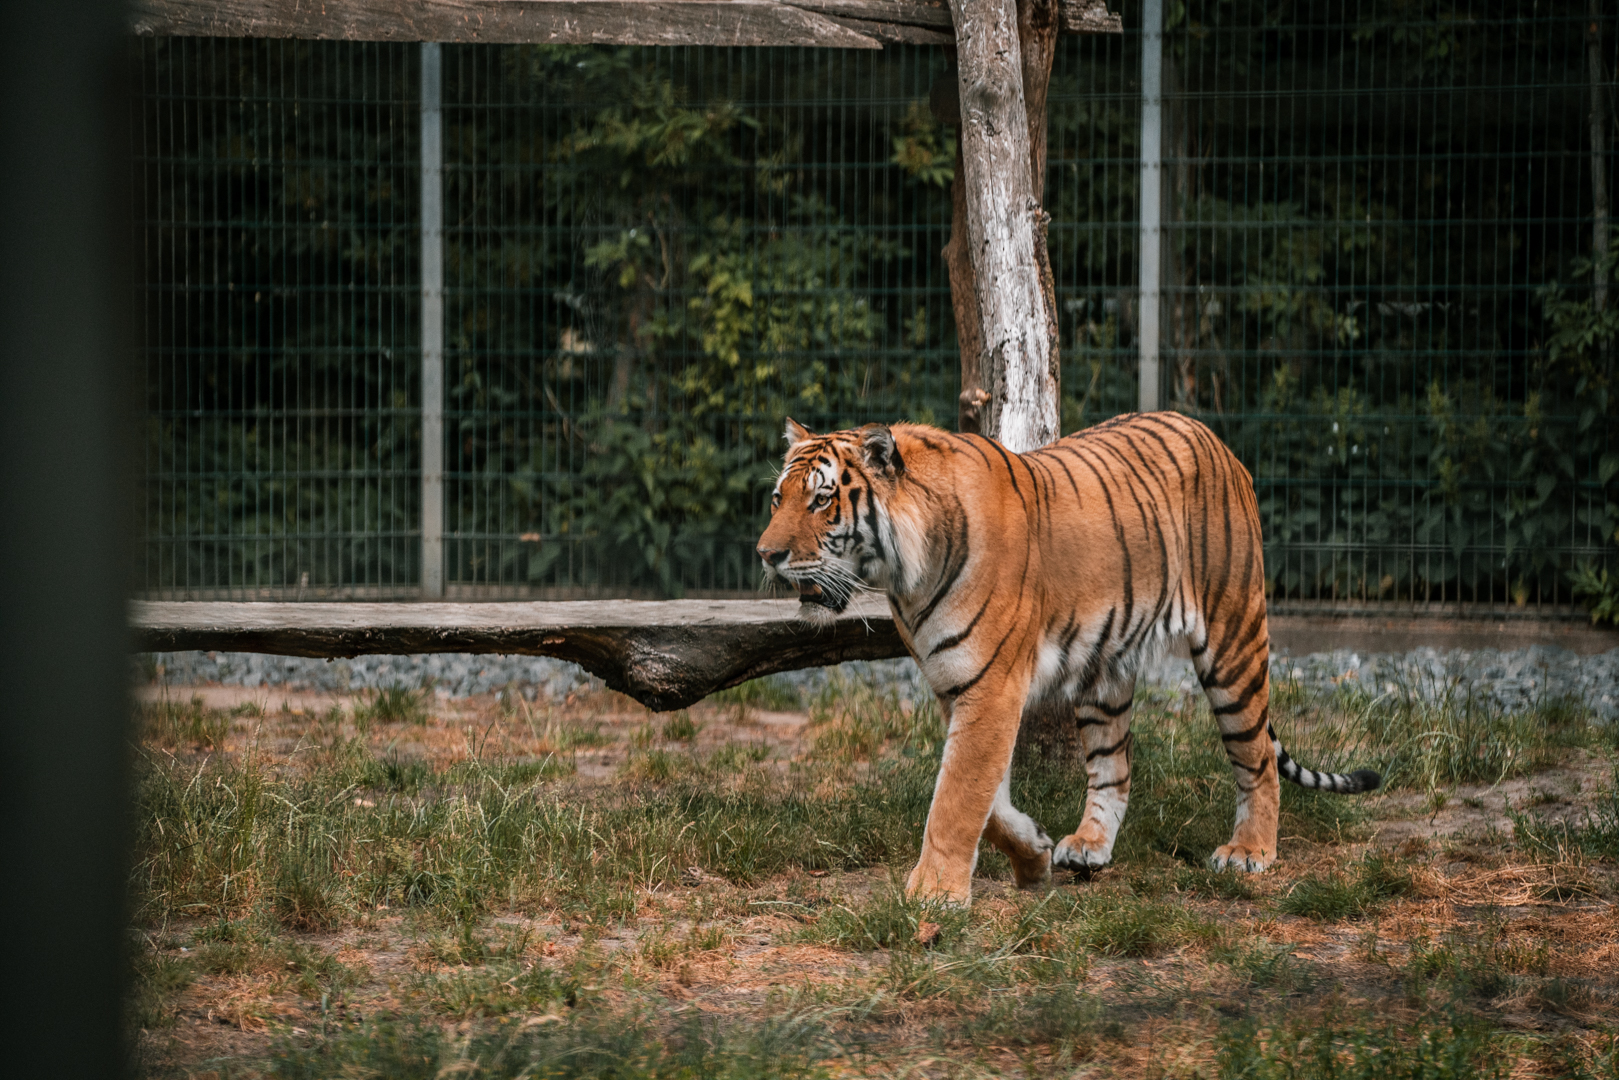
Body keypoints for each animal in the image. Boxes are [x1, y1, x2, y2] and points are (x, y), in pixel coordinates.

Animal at [756, 412, 1380, 904]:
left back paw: (1250, 851)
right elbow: (987, 799)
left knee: (1257, 758)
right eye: (778, 498)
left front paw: (933, 893)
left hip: (1232, 642)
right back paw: (1089, 847)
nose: (766, 554)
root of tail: (1214, 438)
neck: (905, 578)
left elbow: (957, 797)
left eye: (822, 499)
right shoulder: (955, 686)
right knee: (1115, 767)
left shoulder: (992, 686)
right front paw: (1032, 856)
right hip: (1105, 672)